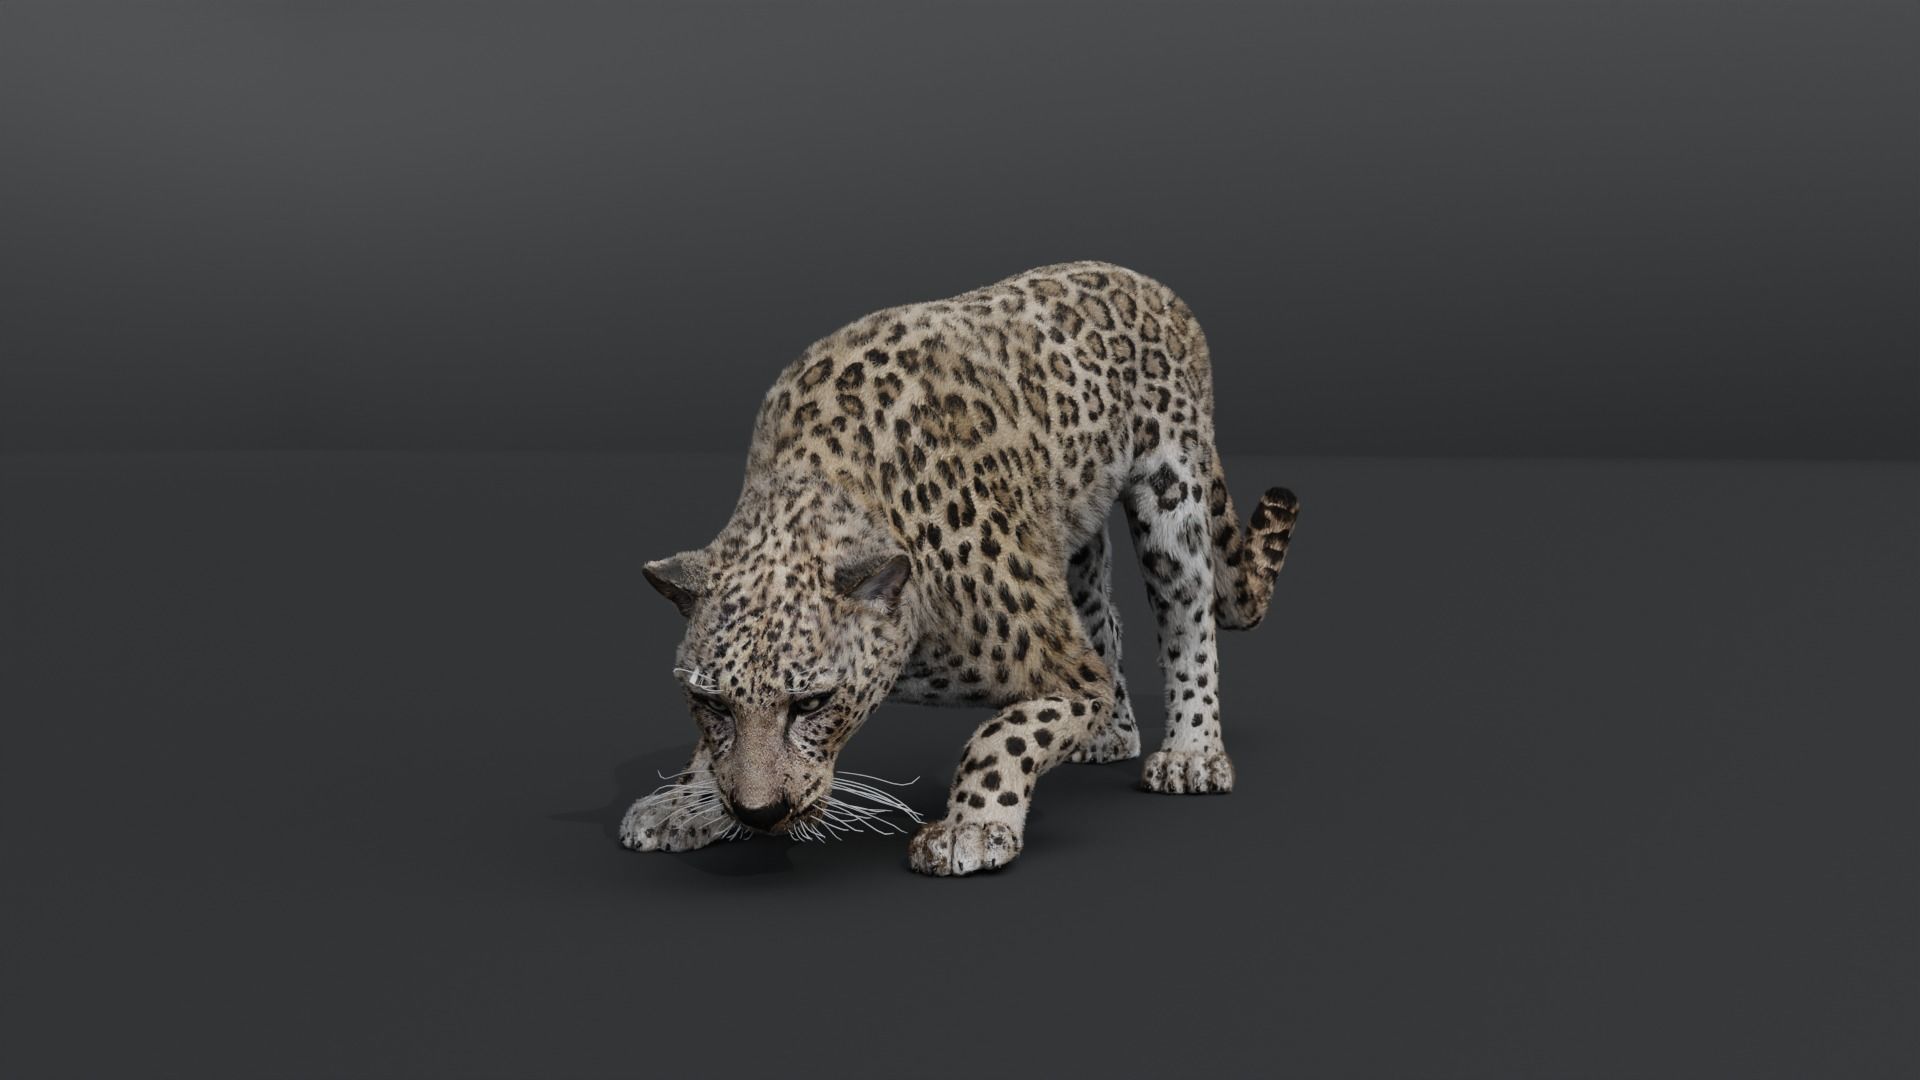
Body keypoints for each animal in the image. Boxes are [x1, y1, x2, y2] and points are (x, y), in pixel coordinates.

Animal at [618, 261, 1298, 876]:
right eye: (711, 703)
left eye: (811, 704)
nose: (758, 814)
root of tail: (1150, 284)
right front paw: (684, 800)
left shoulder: (1066, 672)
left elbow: (1004, 737)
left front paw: (967, 830)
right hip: (1074, 530)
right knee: (1104, 615)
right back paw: (1112, 736)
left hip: (1172, 492)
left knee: (1187, 617)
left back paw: (1190, 754)